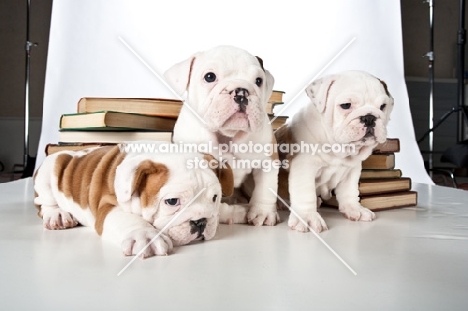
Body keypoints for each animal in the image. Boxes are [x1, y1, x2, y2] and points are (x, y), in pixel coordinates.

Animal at [33, 146, 234, 258]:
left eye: (214, 198)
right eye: (172, 201)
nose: (200, 222)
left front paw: (231, 212)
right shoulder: (108, 205)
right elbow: (127, 219)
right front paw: (146, 236)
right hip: (50, 169)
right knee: (44, 203)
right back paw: (57, 215)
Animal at [165, 44, 280, 227]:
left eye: (258, 81)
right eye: (210, 77)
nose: (241, 91)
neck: (228, 135)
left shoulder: (267, 160)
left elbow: (266, 187)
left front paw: (263, 212)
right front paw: (235, 213)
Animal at [276, 69, 394, 233]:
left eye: (383, 106)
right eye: (345, 105)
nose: (369, 117)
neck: (338, 148)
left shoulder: (352, 170)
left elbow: (349, 191)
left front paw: (354, 209)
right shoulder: (304, 167)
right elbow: (305, 194)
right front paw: (307, 217)